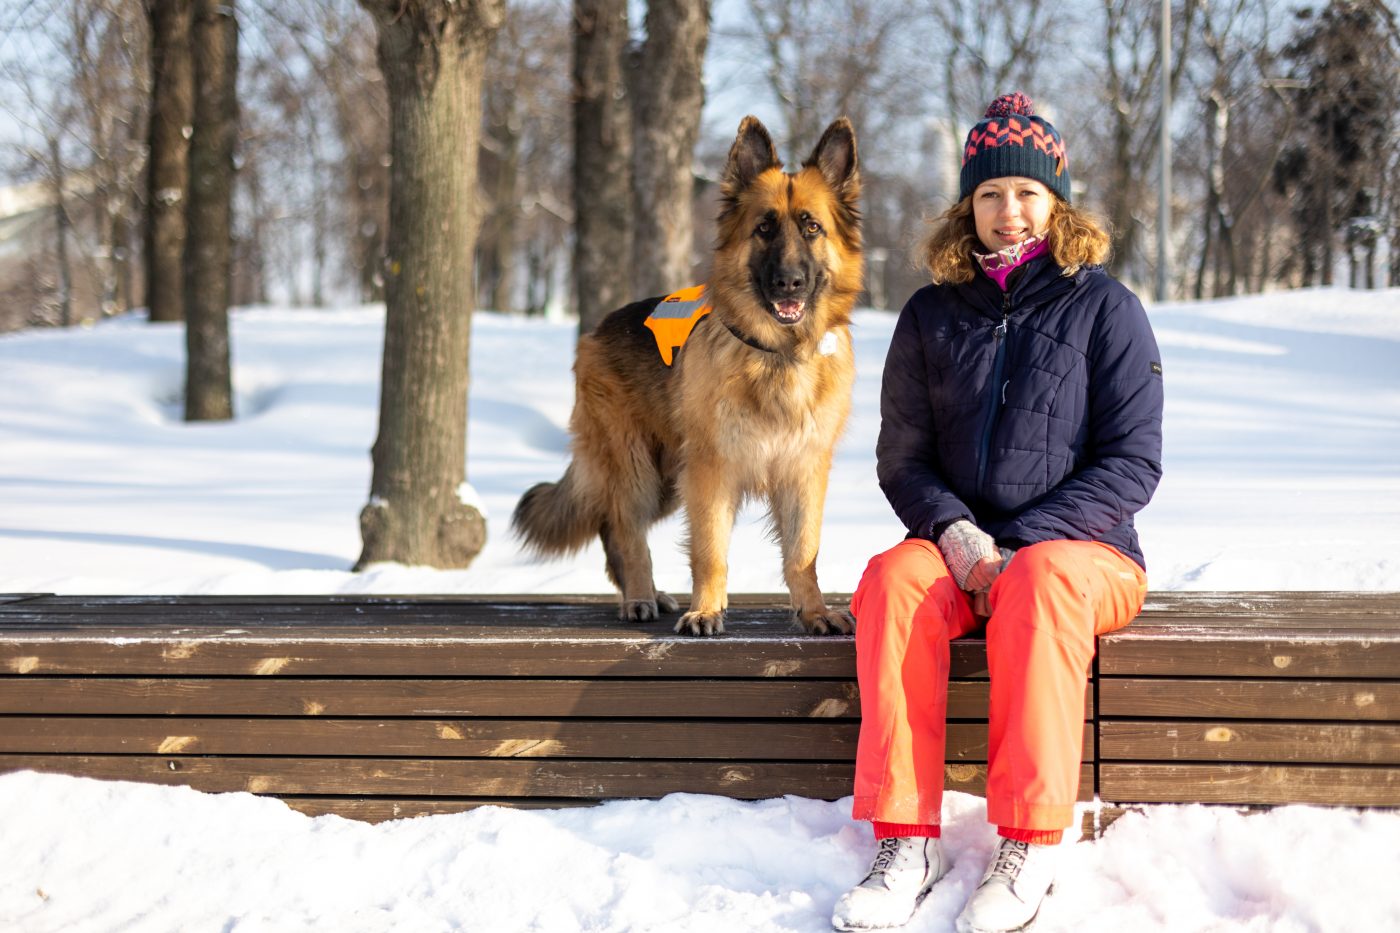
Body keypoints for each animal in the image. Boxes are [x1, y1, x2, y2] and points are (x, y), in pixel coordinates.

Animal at [518, 116, 862, 636]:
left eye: (812, 228)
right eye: (764, 228)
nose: (789, 282)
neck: (777, 355)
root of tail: (595, 329)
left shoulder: (802, 472)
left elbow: (803, 552)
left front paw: (815, 612)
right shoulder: (710, 473)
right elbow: (710, 551)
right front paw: (706, 610)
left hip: (666, 481)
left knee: (609, 527)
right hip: (638, 470)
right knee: (625, 529)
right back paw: (640, 596)